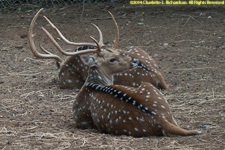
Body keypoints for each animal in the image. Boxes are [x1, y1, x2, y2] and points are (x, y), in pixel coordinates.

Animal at [72, 38, 200, 137]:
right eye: (112, 59)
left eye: (115, 50)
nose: (134, 60)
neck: (93, 84)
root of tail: (161, 119)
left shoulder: (81, 120)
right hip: (150, 88)